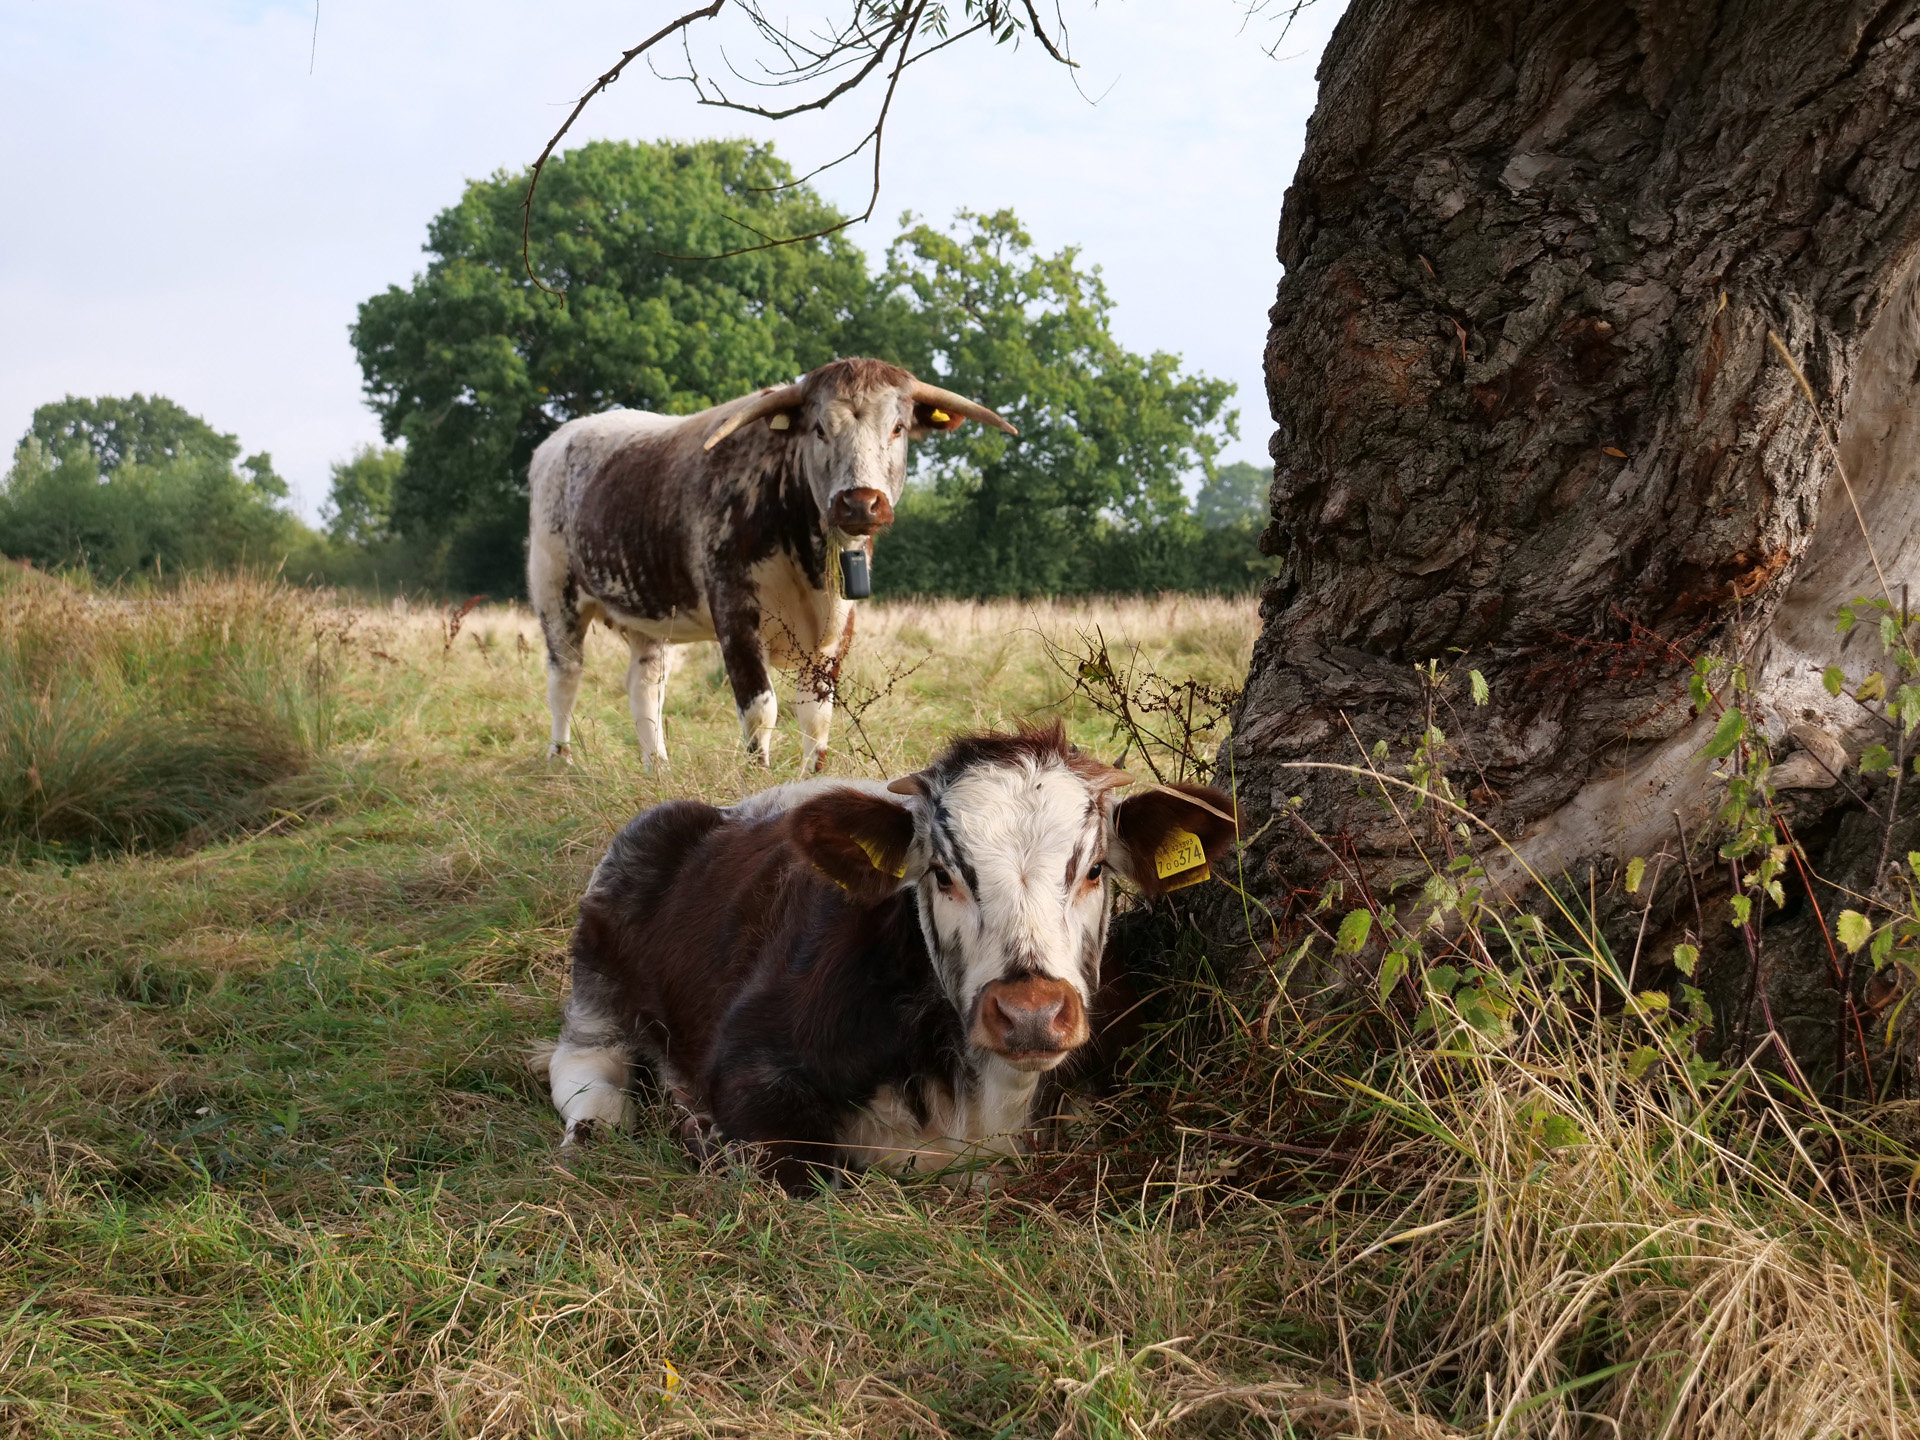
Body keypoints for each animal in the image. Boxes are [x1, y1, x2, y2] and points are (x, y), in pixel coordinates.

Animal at [526, 358, 1016, 771]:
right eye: (819, 428)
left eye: (897, 427)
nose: (860, 502)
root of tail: (559, 440)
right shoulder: (735, 615)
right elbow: (761, 709)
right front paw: (756, 779)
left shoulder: (836, 629)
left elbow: (817, 715)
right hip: (556, 593)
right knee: (565, 676)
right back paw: (559, 760)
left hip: (650, 614)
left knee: (646, 687)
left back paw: (657, 768)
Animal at [538, 723, 1238, 1193]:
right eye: (942, 874)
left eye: (1094, 870)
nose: (1031, 1013)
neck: (985, 1103)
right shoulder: (752, 1061)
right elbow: (795, 1169)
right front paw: (702, 1134)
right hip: (598, 976)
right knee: (588, 1076)